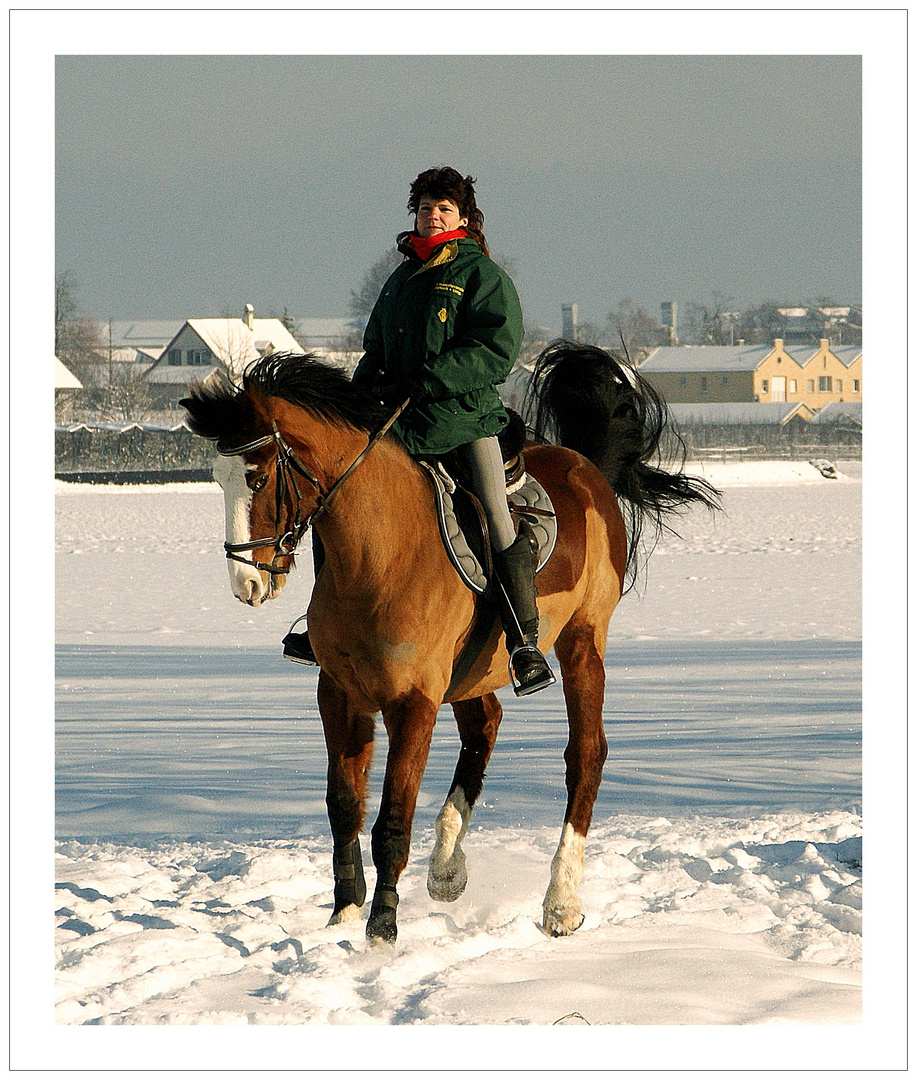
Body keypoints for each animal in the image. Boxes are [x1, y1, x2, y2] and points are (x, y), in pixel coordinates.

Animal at [182, 341, 717, 941]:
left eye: (256, 479)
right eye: (217, 478)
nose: (245, 584)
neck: (380, 553)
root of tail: (583, 467)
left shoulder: (412, 702)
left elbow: (391, 820)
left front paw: (381, 933)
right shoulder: (339, 695)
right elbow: (344, 806)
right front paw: (344, 916)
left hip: (582, 639)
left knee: (586, 755)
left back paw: (559, 903)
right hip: (473, 671)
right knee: (484, 727)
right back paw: (446, 866)